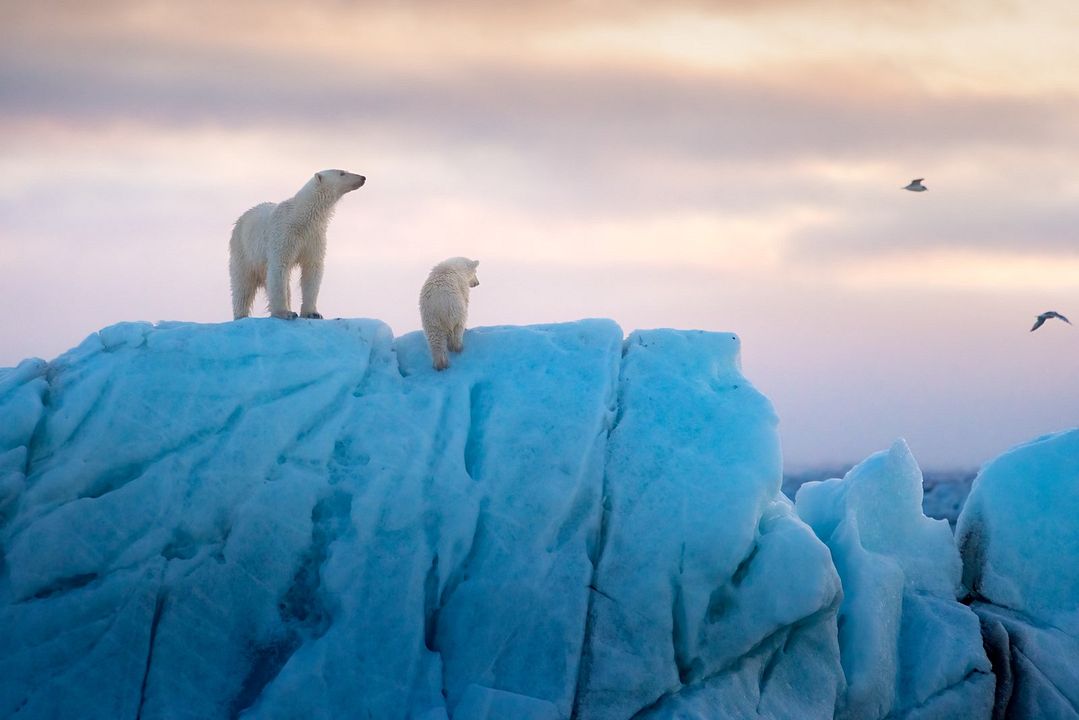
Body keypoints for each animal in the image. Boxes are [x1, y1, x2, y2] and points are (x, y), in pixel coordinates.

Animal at [229, 169, 365, 320]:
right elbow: (279, 267)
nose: (363, 177)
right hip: (243, 249)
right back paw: (241, 315)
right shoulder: (283, 235)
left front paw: (312, 313)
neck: (301, 218)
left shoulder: (314, 237)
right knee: (243, 285)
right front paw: (285, 313)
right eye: (342, 173)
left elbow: (312, 269)